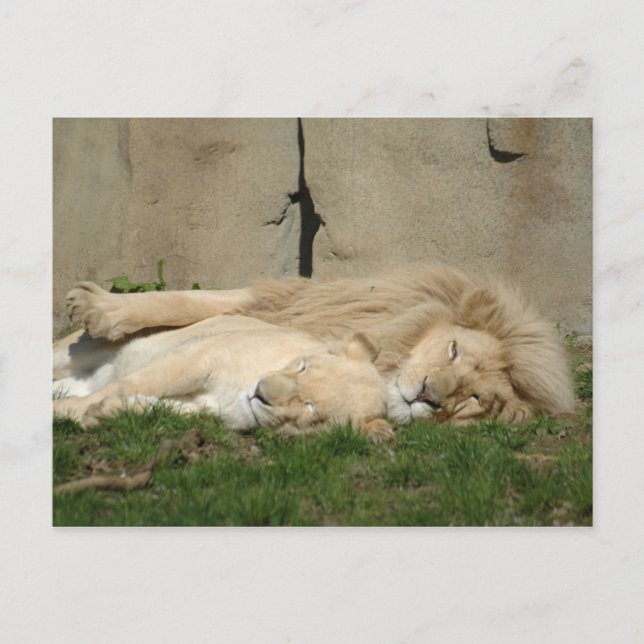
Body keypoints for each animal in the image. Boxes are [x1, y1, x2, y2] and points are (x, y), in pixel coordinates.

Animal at [53, 315, 393, 438]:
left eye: (311, 407)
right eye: (303, 366)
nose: (261, 391)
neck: (231, 401)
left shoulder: (201, 410)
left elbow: (156, 407)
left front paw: (105, 413)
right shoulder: (201, 356)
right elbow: (133, 383)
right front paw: (69, 411)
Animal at [64, 264, 576, 425]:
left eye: (473, 399)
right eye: (453, 350)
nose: (430, 396)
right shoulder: (293, 302)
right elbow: (190, 300)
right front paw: (96, 308)